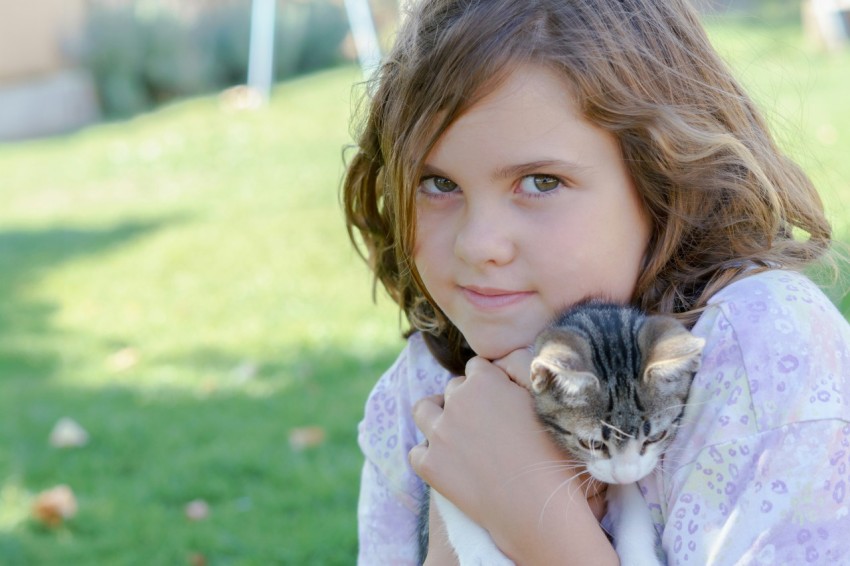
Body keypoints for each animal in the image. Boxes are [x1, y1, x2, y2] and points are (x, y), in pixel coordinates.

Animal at [420, 304, 704, 564]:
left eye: (656, 437)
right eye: (591, 443)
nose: (626, 475)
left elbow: (632, 506)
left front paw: (639, 557)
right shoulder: (441, 442)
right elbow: (449, 497)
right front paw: (483, 558)